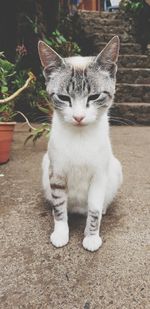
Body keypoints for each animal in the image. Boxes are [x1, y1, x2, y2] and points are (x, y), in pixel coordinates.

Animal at [38, 36, 122, 251]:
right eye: (63, 97)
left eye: (94, 96)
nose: (78, 117)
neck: (80, 136)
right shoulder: (57, 173)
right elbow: (60, 208)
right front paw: (61, 233)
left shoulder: (99, 176)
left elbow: (94, 210)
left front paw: (91, 237)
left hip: (115, 168)